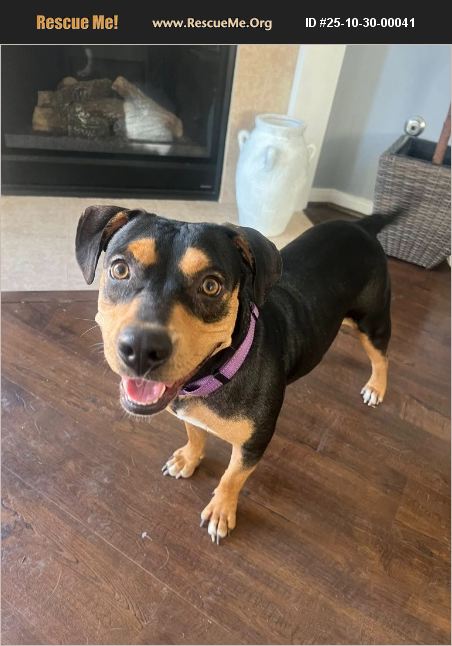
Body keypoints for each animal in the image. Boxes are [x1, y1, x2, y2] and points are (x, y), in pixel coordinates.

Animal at [76, 206, 395, 543]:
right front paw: (189, 458)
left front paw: (221, 511)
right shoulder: (190, 413)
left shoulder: (253, 444)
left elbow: (232, 477)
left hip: (373, 321)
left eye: (210, 286)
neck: (213, 373)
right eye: (120, 269)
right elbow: (195, 434)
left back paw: (376, 386)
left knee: (382, 356)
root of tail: (362, 226)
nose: (141, 346)